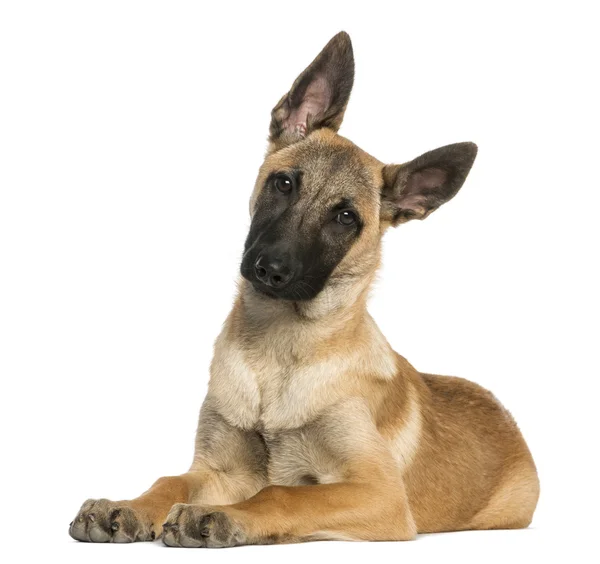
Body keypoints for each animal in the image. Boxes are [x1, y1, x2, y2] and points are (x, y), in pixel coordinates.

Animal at [69, 30, 540, 548]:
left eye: (346, 217)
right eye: (284, 183)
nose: (271, 270)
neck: (277, 354)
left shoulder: (380, 493)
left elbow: (281, 494)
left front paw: (221, 516)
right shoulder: (219, 467)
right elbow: (170, 481)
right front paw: (127, 506)